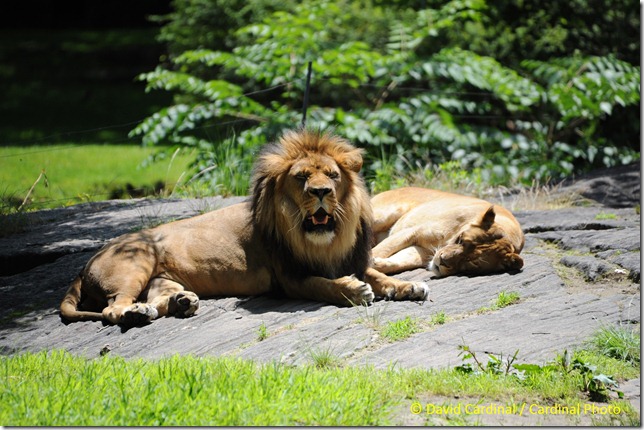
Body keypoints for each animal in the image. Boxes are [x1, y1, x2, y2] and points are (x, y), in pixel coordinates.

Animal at [60, 128, 430, 326]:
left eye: (333, 175)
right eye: (302, 178)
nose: (321, 192)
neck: (325, 240)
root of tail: (87, 261)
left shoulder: (350, 259)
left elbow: (379, 275)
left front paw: (408, 286)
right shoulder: (290, 278)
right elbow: (324, 286)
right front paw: (354, 291)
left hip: (161, 277)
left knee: (158, 297)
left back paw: (181, 303)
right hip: (136, 259)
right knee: (112, 308)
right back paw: (136, 313)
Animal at [370, 187, 524, 276]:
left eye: (472, 262)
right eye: (461, 240)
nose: (442, 261)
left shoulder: (422, 251)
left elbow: (399, 262)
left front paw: (377, 265)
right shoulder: (412, 231)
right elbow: (381, 250)